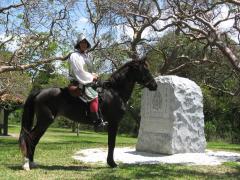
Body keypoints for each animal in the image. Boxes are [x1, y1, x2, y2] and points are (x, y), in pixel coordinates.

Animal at [19, 58, 158, 169]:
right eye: (145, 70)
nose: (155, 85)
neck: (115, 92)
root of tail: (39, 92)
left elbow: (110, 143)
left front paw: (111, 162)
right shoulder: (113, 123)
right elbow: (111, 143)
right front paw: (112, 163)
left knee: (33, 138)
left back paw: (31, 163)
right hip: (45, 121)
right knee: (31, 138)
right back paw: (27, 164)